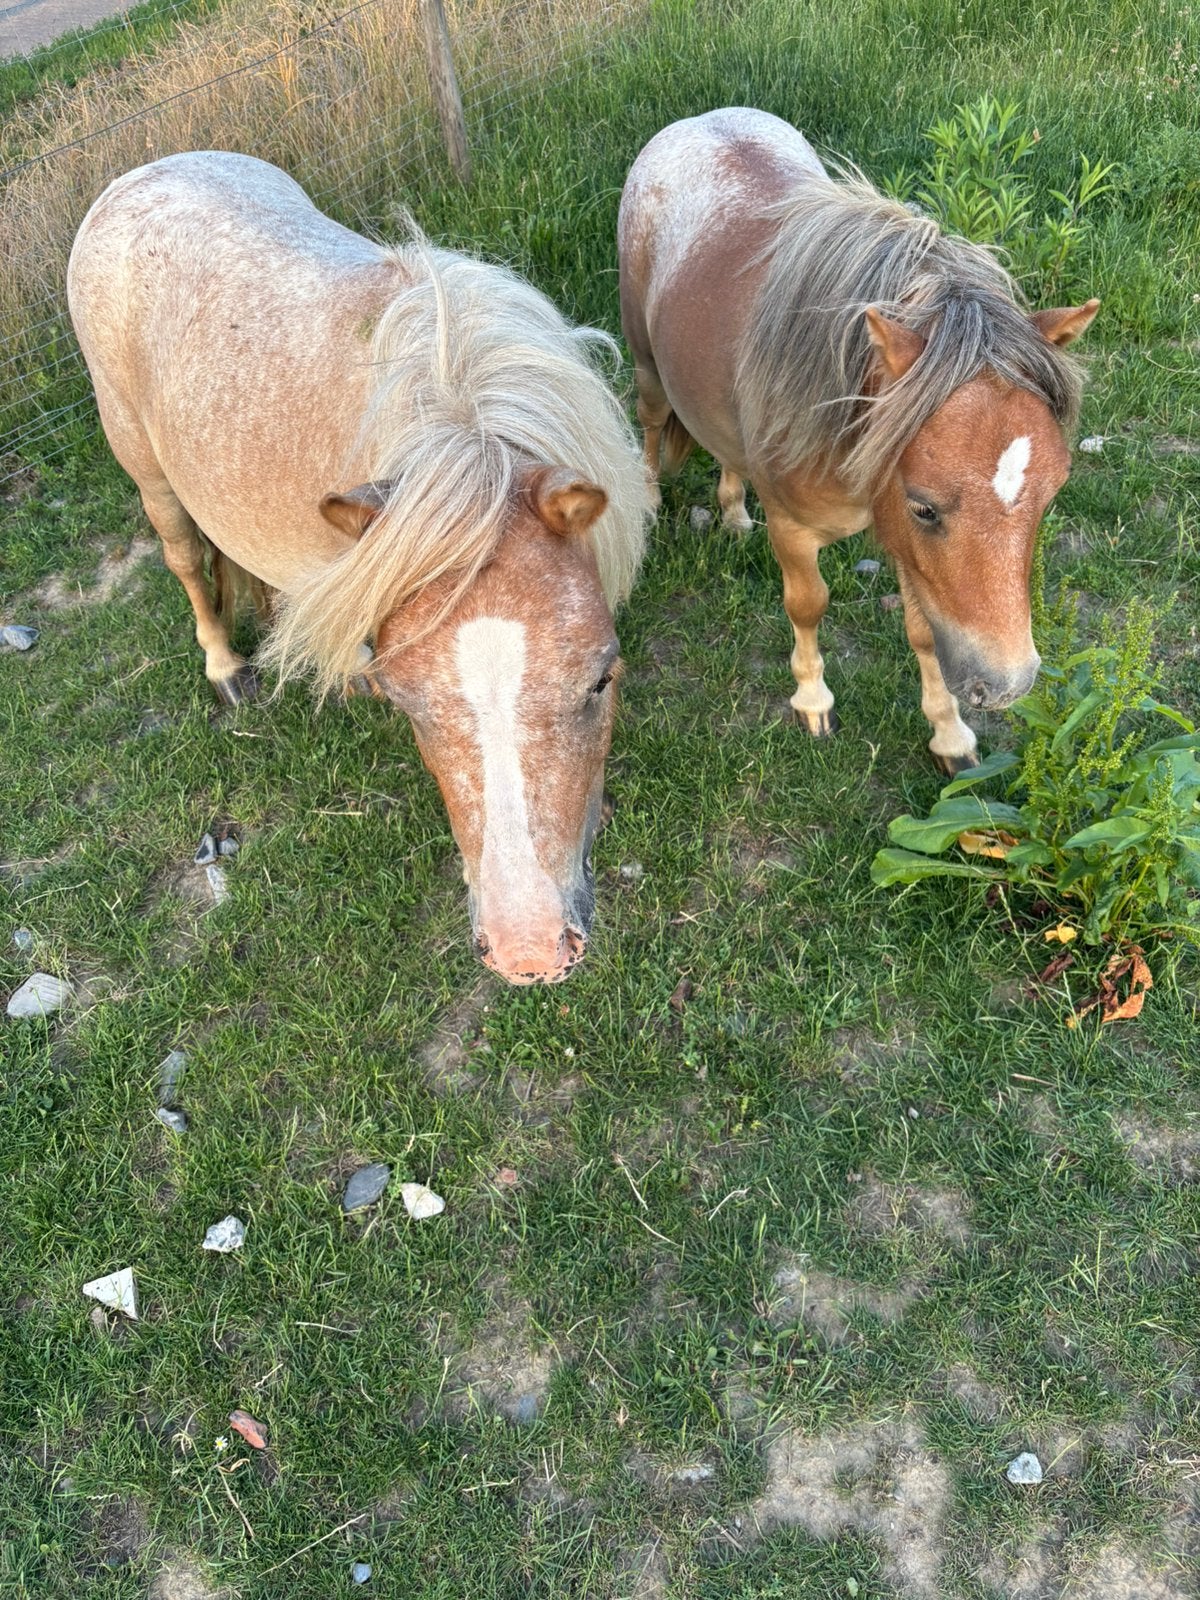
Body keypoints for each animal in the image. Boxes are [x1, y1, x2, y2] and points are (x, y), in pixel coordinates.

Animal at [68, 152, 651, 985]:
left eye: (601, 678)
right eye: (406, 704)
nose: (530, 953)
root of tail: (141, 172)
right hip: (150, 476)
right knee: (187, 565)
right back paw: (227, 669)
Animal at [618, 108, 1098, 773]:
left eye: (1048, 500)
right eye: (925, 508)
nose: (1008, 685)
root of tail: (696, 121)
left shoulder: (905, 547)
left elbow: (925, 632)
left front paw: (949, 734)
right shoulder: (801, 530)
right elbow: (808, 605)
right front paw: (813, 700)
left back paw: (734, 512)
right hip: (647, 368)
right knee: (648, 420)